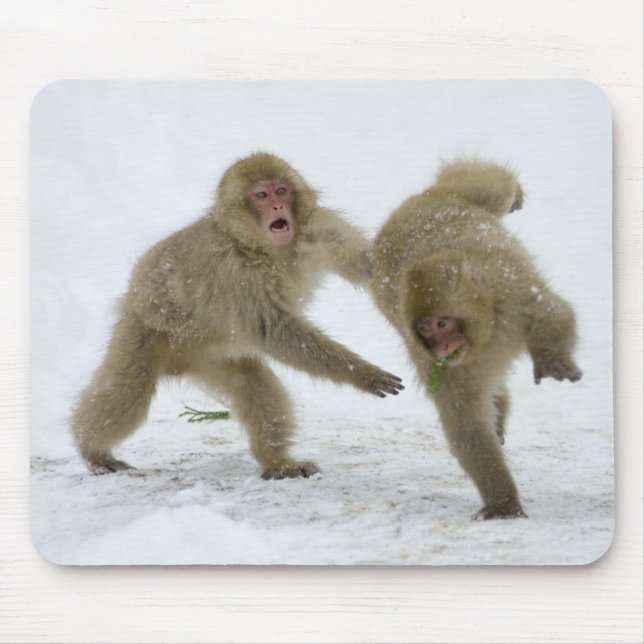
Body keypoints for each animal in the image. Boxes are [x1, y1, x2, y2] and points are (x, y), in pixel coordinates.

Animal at [72, 152, 403, 479]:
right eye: (261, 195)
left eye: (281, 190)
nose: (277, 206)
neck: (266, 249)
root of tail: (178, 365)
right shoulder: (235, 272)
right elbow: (275, 331)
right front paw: (363, 373)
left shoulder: (316, 226)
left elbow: (366, 264)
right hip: (144, 329)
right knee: (128, 390)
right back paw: (92, 450)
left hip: (210, 355)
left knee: (251, 380)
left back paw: (278, 463)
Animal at [371, 159, 582, 520]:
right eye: (426, 330)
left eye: (443, 323)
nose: (442, 346)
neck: (488, 333)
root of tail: (404, 209)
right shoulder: (436, 362)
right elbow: (466, 423)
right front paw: (503, 504)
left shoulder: (511, 295)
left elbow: (553, 312)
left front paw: (552, 359)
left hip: (464, 195)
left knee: (494, 185)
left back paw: (514, 192)